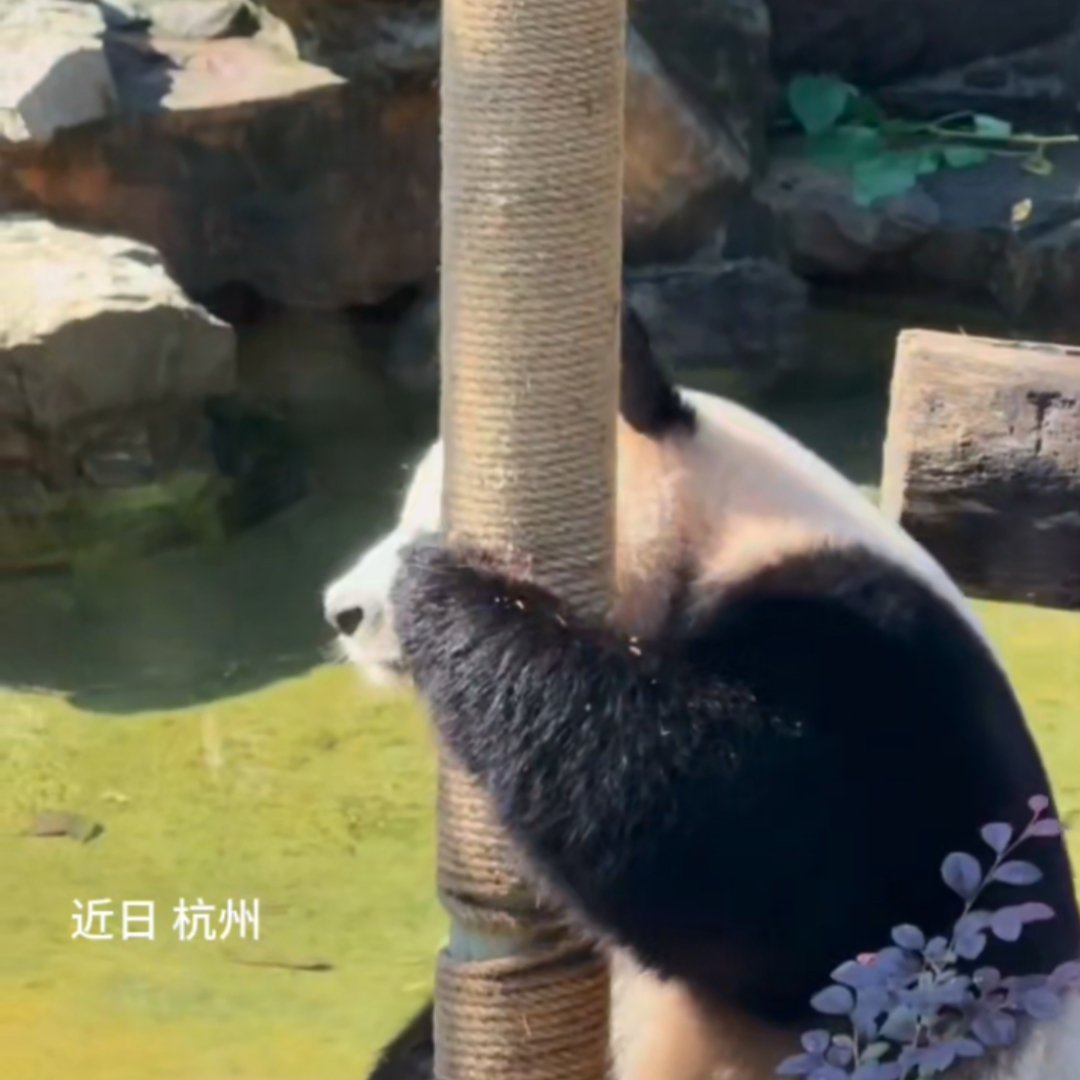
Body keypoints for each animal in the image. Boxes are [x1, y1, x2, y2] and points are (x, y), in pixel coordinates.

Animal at [323, 310, 1080, 1079]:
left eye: (431, 520)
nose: (341, 612)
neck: (727, 529)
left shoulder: (881, 670)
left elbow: (763, 857)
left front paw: (443, 596)